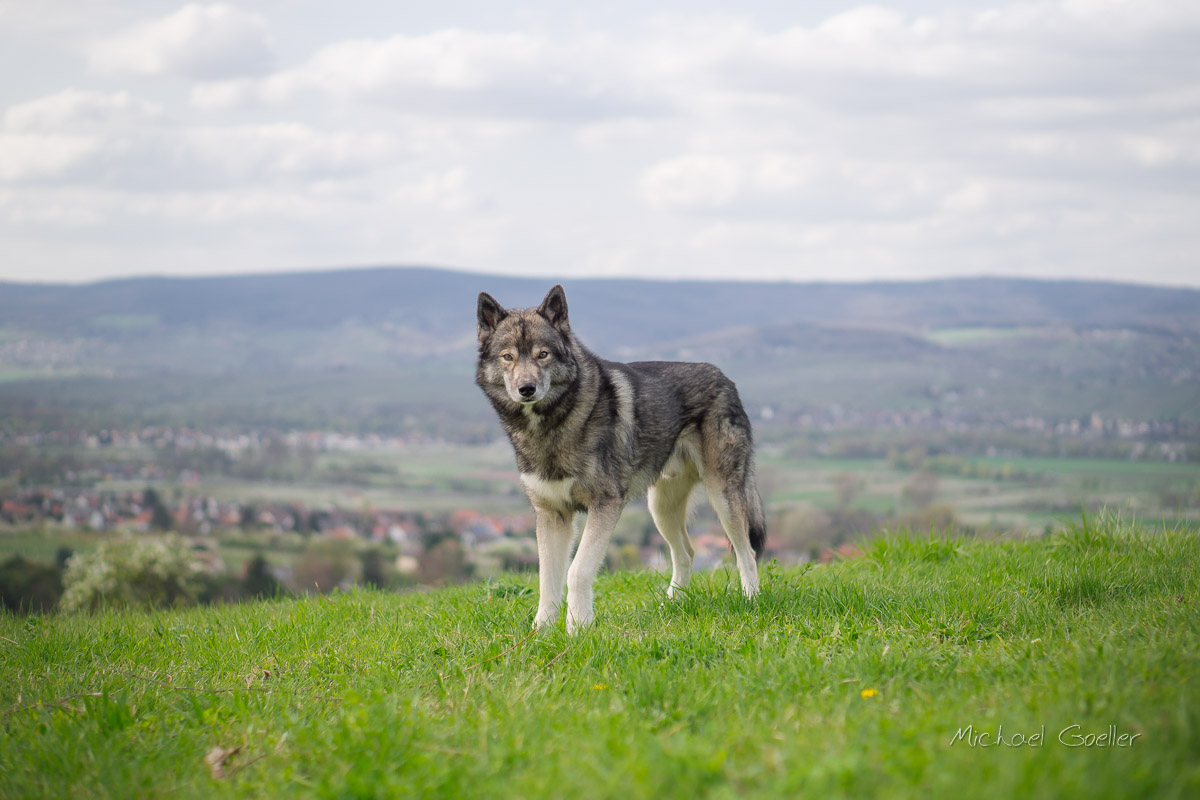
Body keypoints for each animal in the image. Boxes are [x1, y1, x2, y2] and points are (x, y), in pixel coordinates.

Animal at [476, 285, 765, 634]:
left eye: (542, 354)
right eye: (508, 357)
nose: (526, 389)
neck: (550, 426)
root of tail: (725, 378)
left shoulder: (606, 504)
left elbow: (577, 571)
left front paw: (578, 629)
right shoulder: (552, 515)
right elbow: (547, 580)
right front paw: (541, 633)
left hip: (722, 497)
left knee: (746, 551)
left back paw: (751, 601)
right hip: (661, 508)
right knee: (686, 552)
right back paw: (671, 605)